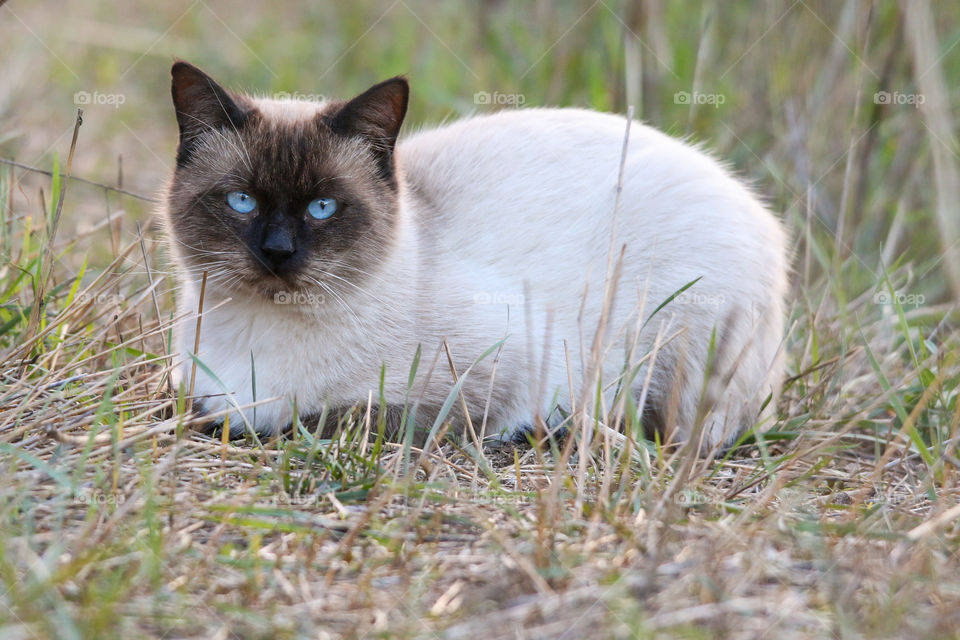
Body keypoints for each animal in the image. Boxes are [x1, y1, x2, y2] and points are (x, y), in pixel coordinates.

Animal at [163, 60, 788, 450]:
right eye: (242, 201)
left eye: (322, 207)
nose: (277, 252)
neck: (259, 337)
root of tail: (763, 215)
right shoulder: (192, 386)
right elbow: (203, 407)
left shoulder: (494, 376)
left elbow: (321, 416)